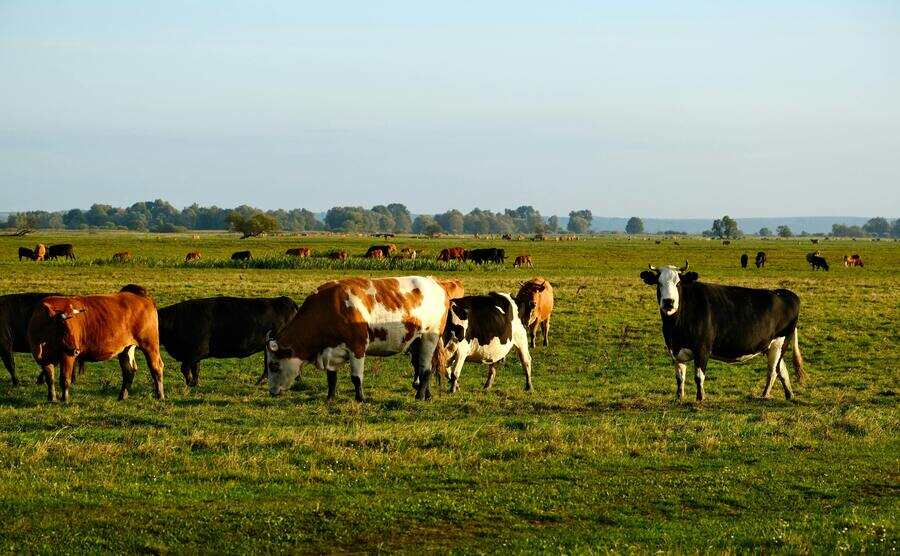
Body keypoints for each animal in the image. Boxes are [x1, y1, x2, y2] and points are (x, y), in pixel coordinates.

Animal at [27, 285, 165, 402]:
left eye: (71, 327)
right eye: (62, 328)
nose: (77, 350)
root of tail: (139, 295)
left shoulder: (67, 356)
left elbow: (64, 379)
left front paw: (65, 400)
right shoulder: (44, 359)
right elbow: (49, 379)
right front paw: (52, 398)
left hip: (149, 344)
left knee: (156, 367)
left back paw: (160, 395)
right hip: (126, 348)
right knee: (129, 370)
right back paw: (122, 396)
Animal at [158, 296, 298, 387]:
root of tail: (286, 300)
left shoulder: (195, 352)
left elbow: (185, 368)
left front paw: (190, 383)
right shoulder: (194, 355)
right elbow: (195, 369)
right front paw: (194, 384)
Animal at [264, 276, 456, 402]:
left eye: (274, 365)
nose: (271, 392)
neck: (329, 307)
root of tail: (436, 283)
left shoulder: (357, 346)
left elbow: (356, 377)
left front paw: (360, 398)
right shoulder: (330, 350)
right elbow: (331, 377)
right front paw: (330, 397)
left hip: (429, 338)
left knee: (425, 369)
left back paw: (420, 396)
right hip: (416, 342)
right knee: (425, 366)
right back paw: (427, 394)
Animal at [639, 261, 804, 401]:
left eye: (678, 283)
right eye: (659, 283)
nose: (669, 302)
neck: (675, 326)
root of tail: (786, 294)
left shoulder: (702, 349)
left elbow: (699, 376)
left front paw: (700, 399)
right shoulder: (675, 350)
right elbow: (680, 377)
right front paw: (679, 398)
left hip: (779, 342)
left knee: (773, 371)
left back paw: (764, 395)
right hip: (771, 346)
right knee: (782, 370)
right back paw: (789, 395)